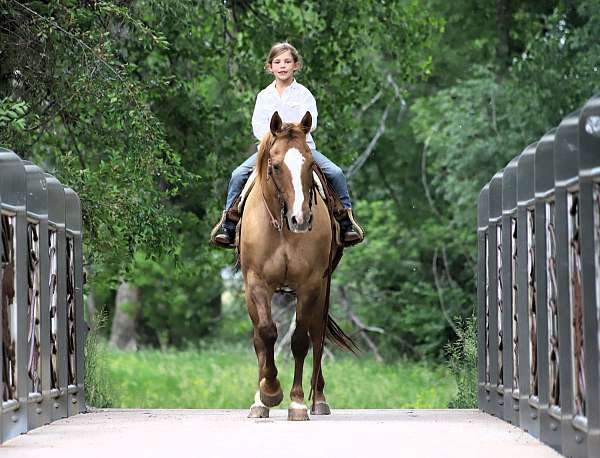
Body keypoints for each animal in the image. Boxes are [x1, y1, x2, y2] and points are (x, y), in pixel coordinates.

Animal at [238, 109, 356, 420]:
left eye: (310, 164)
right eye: (276, 166)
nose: (300, 219)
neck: (281, 228)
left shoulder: (310, 284)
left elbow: (300, 341)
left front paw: (297, 402)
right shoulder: (256, 283)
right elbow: (266, 334)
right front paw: (268, 393)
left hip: (323, 291)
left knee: (317, 336)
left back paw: (319, 399)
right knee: (261, 338)